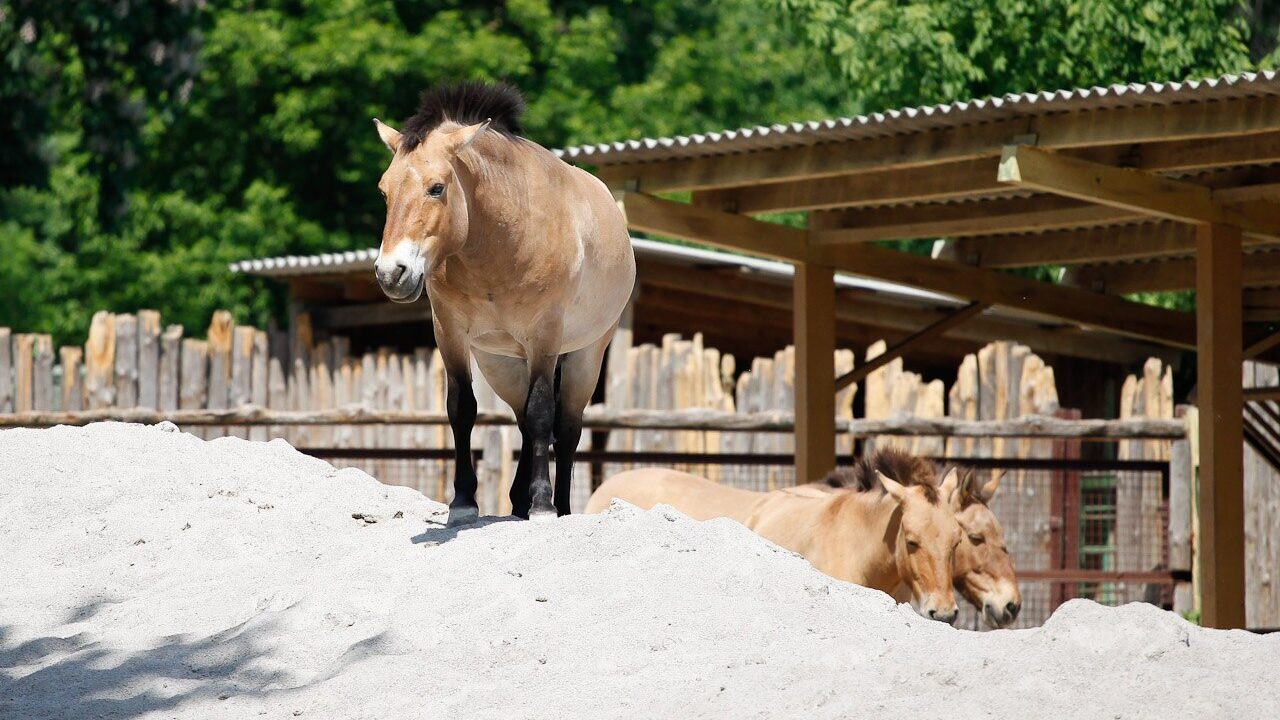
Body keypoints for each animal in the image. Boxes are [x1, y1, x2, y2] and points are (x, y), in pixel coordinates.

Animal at [371, 82, 635, 526]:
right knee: (526, 426)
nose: (392, 273)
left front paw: (543, 505)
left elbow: (543, 412)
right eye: (384, 191)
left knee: (566, 428)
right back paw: (516, 502)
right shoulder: (450, 332)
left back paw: (559, 506)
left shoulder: (545, 337)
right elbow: (463, 409)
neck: (499, 239)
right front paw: (463, 502)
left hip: (586, 356)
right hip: (503, 364)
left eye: (436, 187)